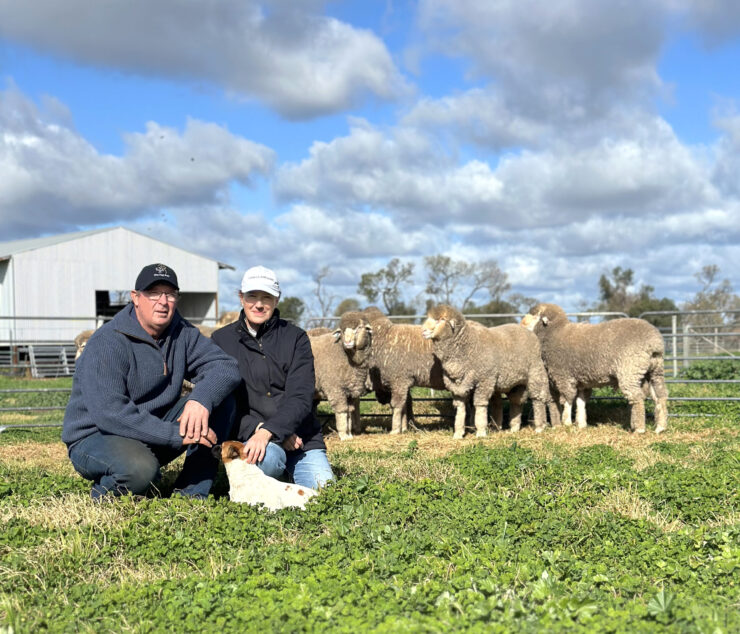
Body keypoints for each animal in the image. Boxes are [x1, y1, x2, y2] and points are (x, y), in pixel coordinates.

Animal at [422, 304, 548, 436]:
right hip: (517, 383)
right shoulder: (456, 385)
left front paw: (481, 431)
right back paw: (514, 428)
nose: (423, 331)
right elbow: (460, 408)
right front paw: (458, 433)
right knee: (516, 402)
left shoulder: (485, 380)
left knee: (538, 399)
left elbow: (480, 406)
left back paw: (539, 427)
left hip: (536, 373)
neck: (467, 344)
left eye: (441, 320)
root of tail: (527, 331)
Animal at [520, 300, 672, 430]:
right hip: (655, 370)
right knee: (660, 396)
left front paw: (566, 422)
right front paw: (581, 423)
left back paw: (639, 428)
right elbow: (581, 401)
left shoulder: (563, 376)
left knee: (637, 398)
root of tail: (654, 343)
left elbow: (568, 399)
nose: (521, 324)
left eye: (534, 315)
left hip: (630, 370)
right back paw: (660, 427)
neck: (554, 333)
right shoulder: (582, 381)